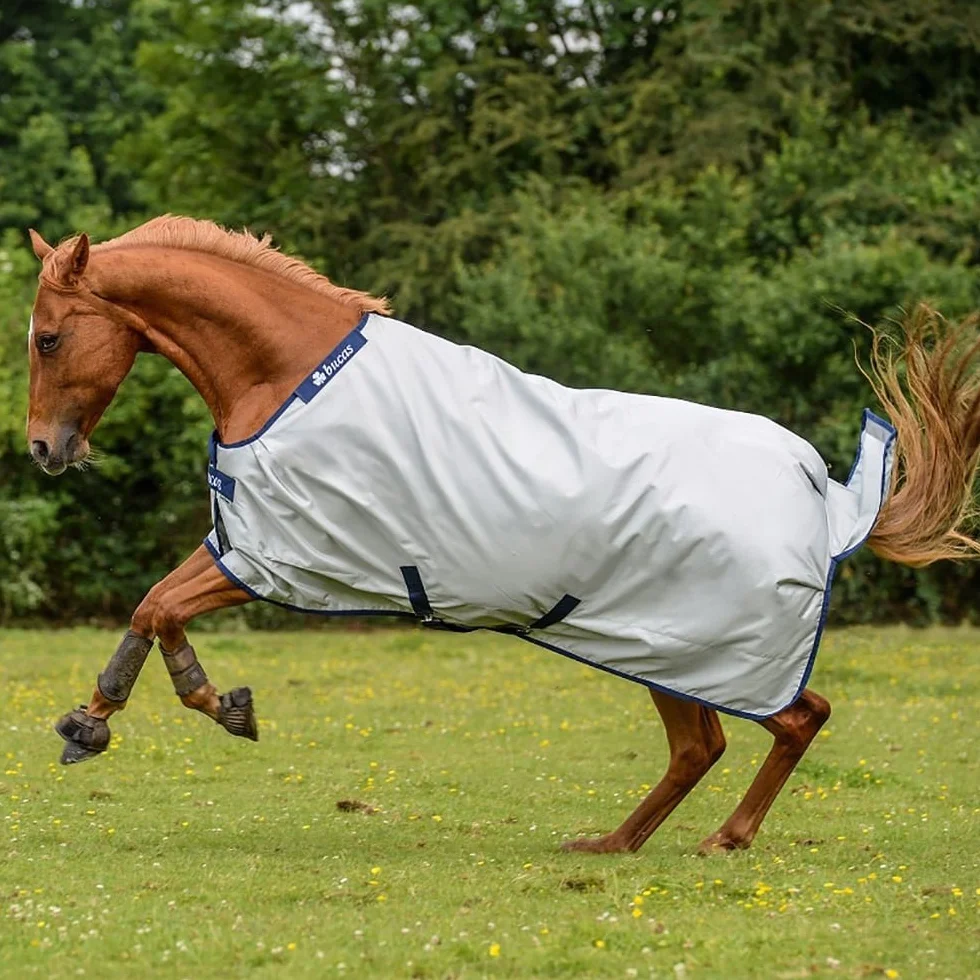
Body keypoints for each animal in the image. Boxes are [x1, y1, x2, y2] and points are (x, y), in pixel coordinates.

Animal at [25, 216, 980, 855]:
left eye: (47, 338)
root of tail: (823, 496)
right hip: (661, 651)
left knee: (792, 718)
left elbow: (159, 609)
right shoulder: (250, 547)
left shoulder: (274, 557)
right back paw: (615, 845)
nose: (42, 449)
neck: (285, 375)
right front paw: (96, 722)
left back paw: (721, 840)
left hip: (695, 648)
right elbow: (151, 607)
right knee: (705, 745)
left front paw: (200, 707)